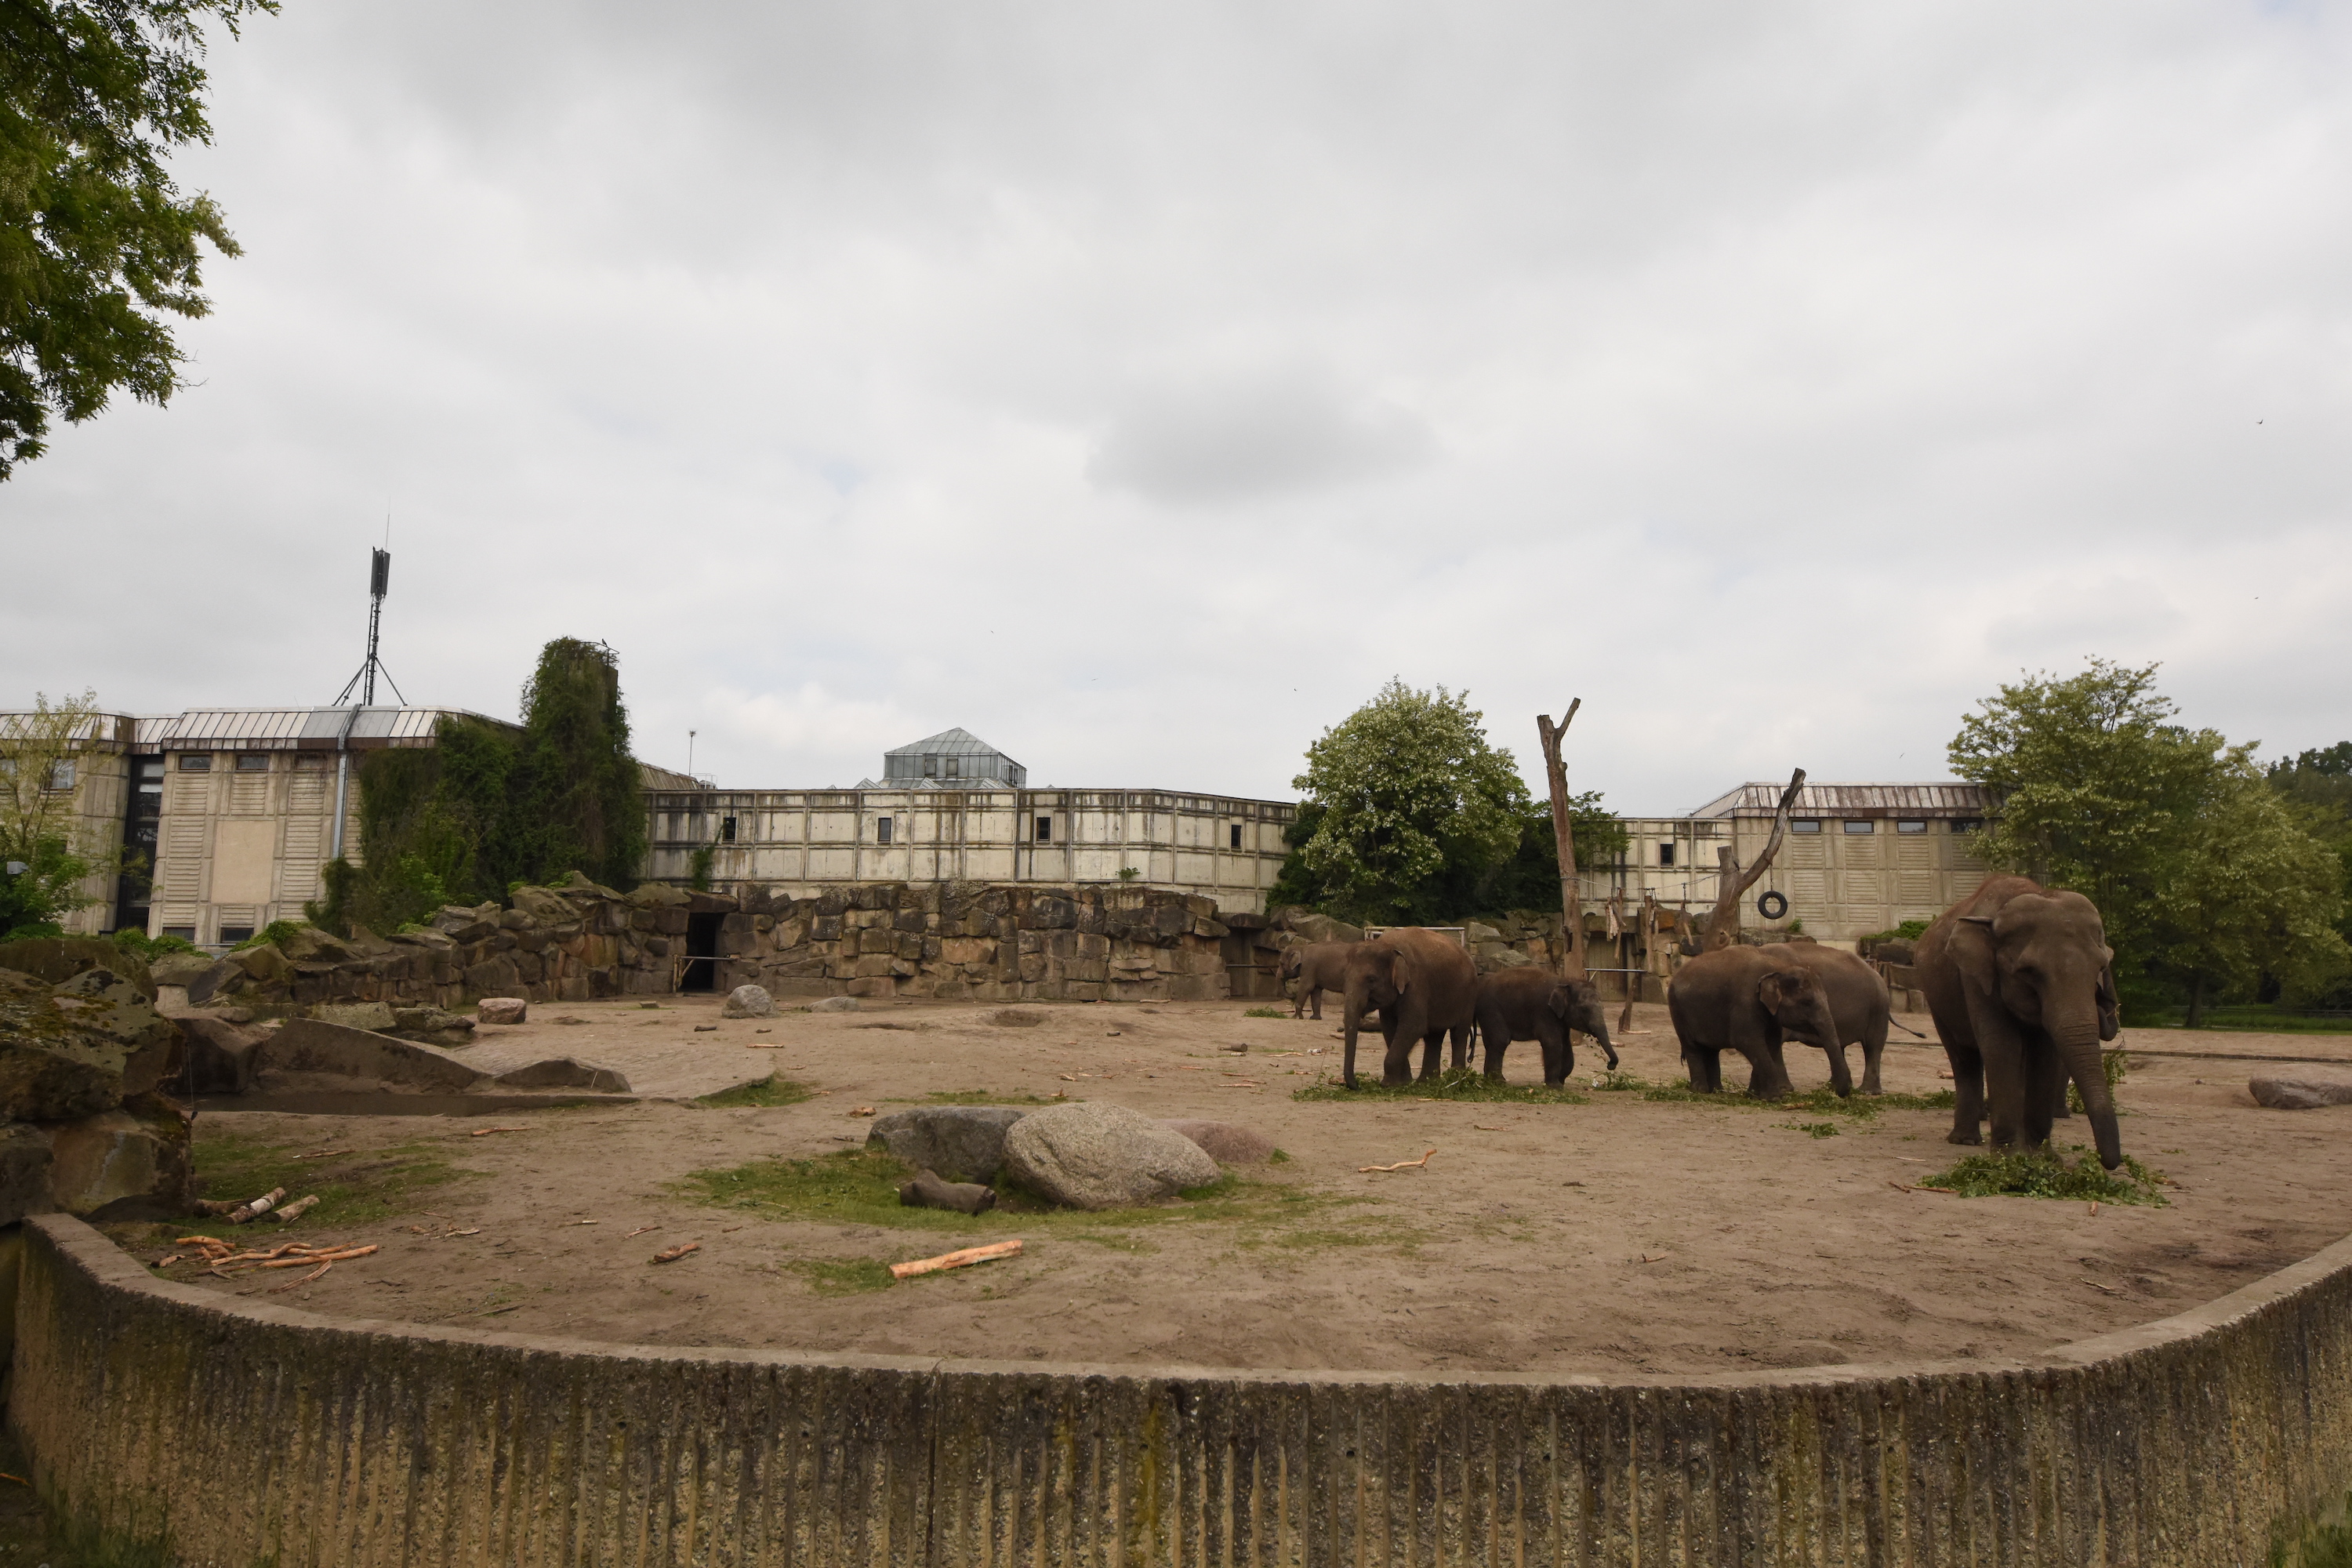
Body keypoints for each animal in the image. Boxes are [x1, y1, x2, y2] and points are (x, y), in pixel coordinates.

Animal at [1340, 927, 1479, 1089]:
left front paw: (1387, 1084)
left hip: (1468, 995)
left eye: (1371, 979)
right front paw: (1403, 1083)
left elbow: (1413, 1027)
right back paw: (1427, 1082)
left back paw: (1455, 1080)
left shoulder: (1416, 983)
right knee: (1434, 1036)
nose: (1358, 1085)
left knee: (1458, 1034)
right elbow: (1389, 1029)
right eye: (1344, 977)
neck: (1386, 945)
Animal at [1472, 968, 1618, 1085]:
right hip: (1491, 1009)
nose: (1610, 1065)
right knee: (1500, 1040)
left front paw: (1561, 1082)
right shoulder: (1545, 1012)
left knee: (1490, 1043)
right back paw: (1498, 1082)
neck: (1565, 981)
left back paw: (1491, 1080)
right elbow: (1552, 1042)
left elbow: (1566, 1044)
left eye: (1603, 1008)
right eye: (1584, 1009)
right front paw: (1555, 1086)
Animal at [1666, 944, 1848, 1099]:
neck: (1780, 968)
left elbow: (1771, 1044)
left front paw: (1754, 1095)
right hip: (1677, 1009)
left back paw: (1717, 1091)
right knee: (1692, 1047)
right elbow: (1748, 1042)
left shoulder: (1770, 1013)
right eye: (1807, 1003)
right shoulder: (1746, 1002)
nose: (1838, 1092)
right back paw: (1700, 1090)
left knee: (1711, 1049)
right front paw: (1774, 1098)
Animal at [1914, 876, 2123, 1169]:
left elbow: (2046, 1053)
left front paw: (2044, 1159)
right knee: (1963, 1057)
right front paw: (2009, 1159)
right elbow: (2002, 1046)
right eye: (2029, 972)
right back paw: (1966, 1140)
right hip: (1936, 999)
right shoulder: (1978, 977)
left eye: (2101, 968)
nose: (2108, 1163)